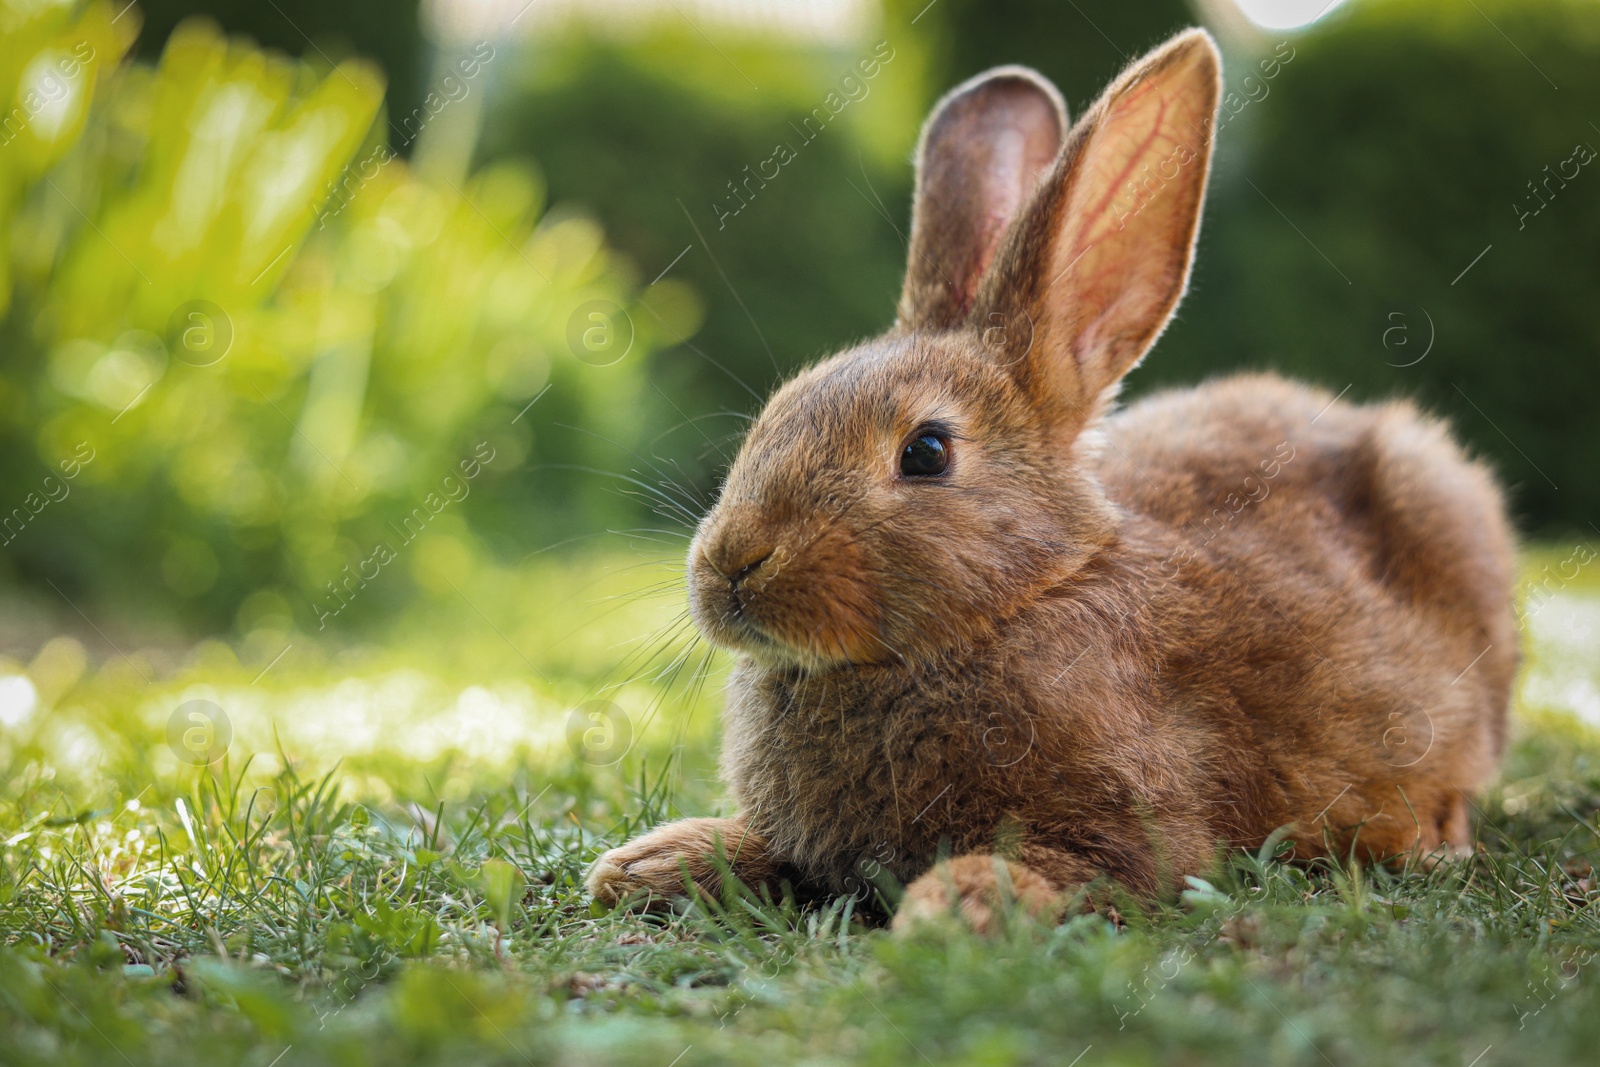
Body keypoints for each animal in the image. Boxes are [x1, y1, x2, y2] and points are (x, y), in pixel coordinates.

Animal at [585, 27, 1510, 934]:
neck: (1019, 600)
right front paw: (648, 863)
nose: (731, 565)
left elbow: (1077, 868)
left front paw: (954, 907)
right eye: (775, 414)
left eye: (926, 452)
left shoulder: (1131, 834)